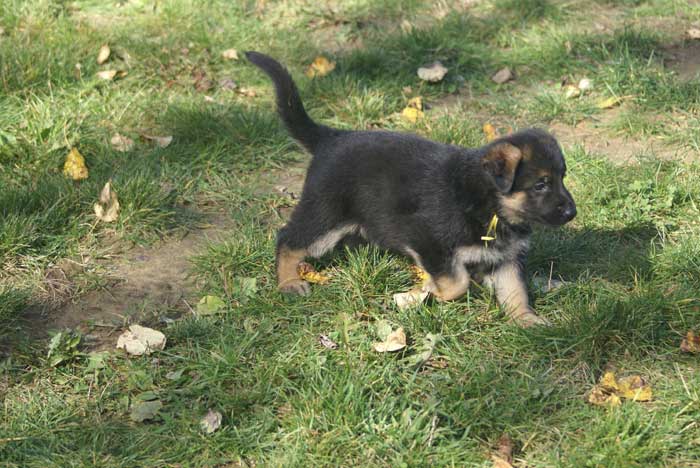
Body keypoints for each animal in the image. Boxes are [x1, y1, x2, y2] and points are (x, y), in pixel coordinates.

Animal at [249, 51, 576, 328]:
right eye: (541, 184)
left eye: (562, 177)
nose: (572, 212)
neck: (490, 202)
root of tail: (330, 138)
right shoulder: (427, 240)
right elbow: (457, 283)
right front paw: (429, 290)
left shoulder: (505, 257)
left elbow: (515, 291)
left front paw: (526, 321)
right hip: (324, 214)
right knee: (289, 239)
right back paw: (288, 282)